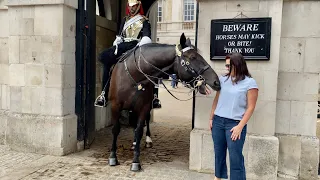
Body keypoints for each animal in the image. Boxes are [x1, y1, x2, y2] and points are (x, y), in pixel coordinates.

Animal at [106, 33, 221, 172]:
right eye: (193, 57)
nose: (216, 81)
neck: (135, 76)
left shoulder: (144, 107)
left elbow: (139, 131)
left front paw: (135, 161)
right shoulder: (115, 106)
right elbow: (116, 129)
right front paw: (113, 157)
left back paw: (146, 140)